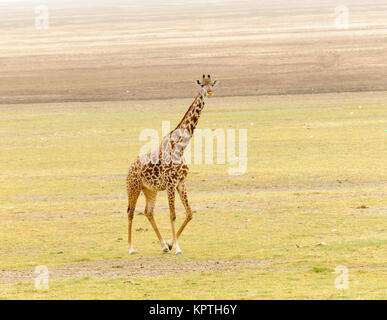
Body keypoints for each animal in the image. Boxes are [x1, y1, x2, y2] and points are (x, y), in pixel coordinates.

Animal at [126, 74, 220, 255]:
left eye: (212, 84)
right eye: (202, 86)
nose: (210, 93)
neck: (181, 146)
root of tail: (129, 168)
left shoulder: (180, 182)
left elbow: (189, 213)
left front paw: (171, 244)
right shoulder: (171, 183)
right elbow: (173, 215)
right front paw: (177, 248)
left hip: (150, 190)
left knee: (148, 212)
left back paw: (163, 245)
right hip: (133, 187)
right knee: (130, 212)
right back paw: (131, 248)